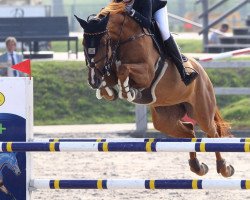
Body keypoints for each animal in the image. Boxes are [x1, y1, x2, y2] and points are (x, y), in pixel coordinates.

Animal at [75, 6, 234, 177]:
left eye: (104, 43)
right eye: (83, 43)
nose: (93, 80)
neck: (125, 39)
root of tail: (203, 72)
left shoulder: (146, 74)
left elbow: (124, 69)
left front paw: (128, 91)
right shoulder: (110, 69)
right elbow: (112, 76)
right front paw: (107, 91)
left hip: (201, 111)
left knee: (212, 133)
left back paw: (224, 168)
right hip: (165, 119)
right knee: (190, 132)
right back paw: (197, 166)